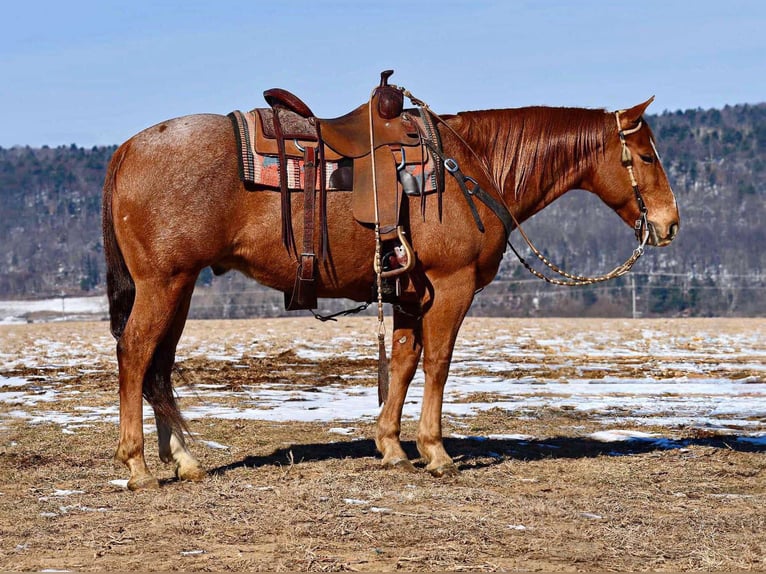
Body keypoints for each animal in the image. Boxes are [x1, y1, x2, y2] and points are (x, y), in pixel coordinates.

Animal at [105, 86, 680, 490]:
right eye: (646, 156)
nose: (670, 223)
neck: (473, 166)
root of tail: (128, 148)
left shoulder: (408, 292)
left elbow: (402, 361)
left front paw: (391, 447)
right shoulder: (452, 286)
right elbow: (438, 363)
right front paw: (436, 452)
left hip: (179, 287)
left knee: (158, 367)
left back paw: (184, 461)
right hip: (162, 284)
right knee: (135, 354)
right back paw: (137, 466)